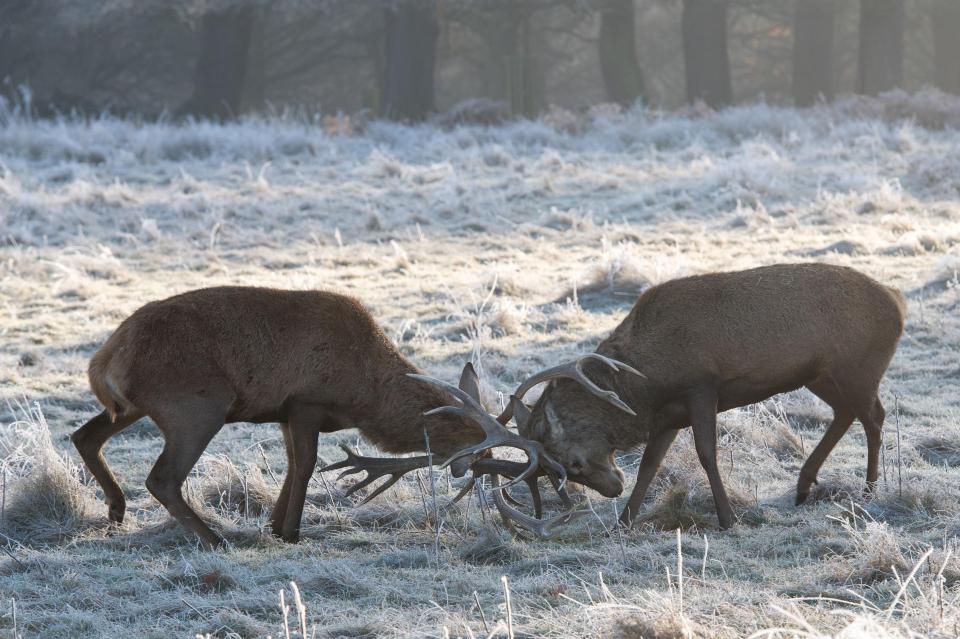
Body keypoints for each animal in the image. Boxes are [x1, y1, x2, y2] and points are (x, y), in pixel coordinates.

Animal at [71, 288, 580, 548]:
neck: (365, 393)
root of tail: (105, 363)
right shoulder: (305, 402)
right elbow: (306, 465)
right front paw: (291, 532)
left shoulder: (284, 414)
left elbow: (291, 465)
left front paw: (275, 526)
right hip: (195, 405)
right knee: (162, 477)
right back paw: (213, 539)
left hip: (133, 406)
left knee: (84, 435)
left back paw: (116, 511)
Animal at [496, 262, 908, 532]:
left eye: (573, 463)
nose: (613, 489)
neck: (646, 385)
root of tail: (898, 302)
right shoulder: (667, 415)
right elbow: (649, 465)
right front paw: (624, 522)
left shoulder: (701, 386)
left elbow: (707, 454)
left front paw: (727, 519)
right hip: (821, 375)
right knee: (846, 413)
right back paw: (805, 485)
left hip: (859, 367)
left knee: (874, 416)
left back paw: (870, 489)